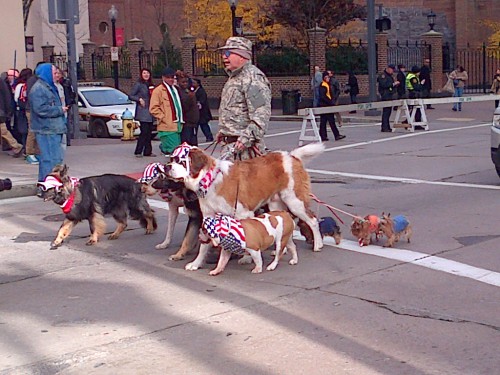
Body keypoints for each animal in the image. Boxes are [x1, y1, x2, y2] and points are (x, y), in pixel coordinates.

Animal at [168, 142, 324, 270]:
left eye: (181, 161)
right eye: (171, 159)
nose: (166, 166)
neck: (210, 179)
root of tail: (291, 156)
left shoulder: (243, 213)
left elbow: (247, 234)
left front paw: (246, 258)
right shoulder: (208, 217)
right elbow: (203, 246)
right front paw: (196, 263)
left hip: (294, 201)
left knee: (312, 220)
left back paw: (318, 245)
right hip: (276, 205)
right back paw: (282, 250)